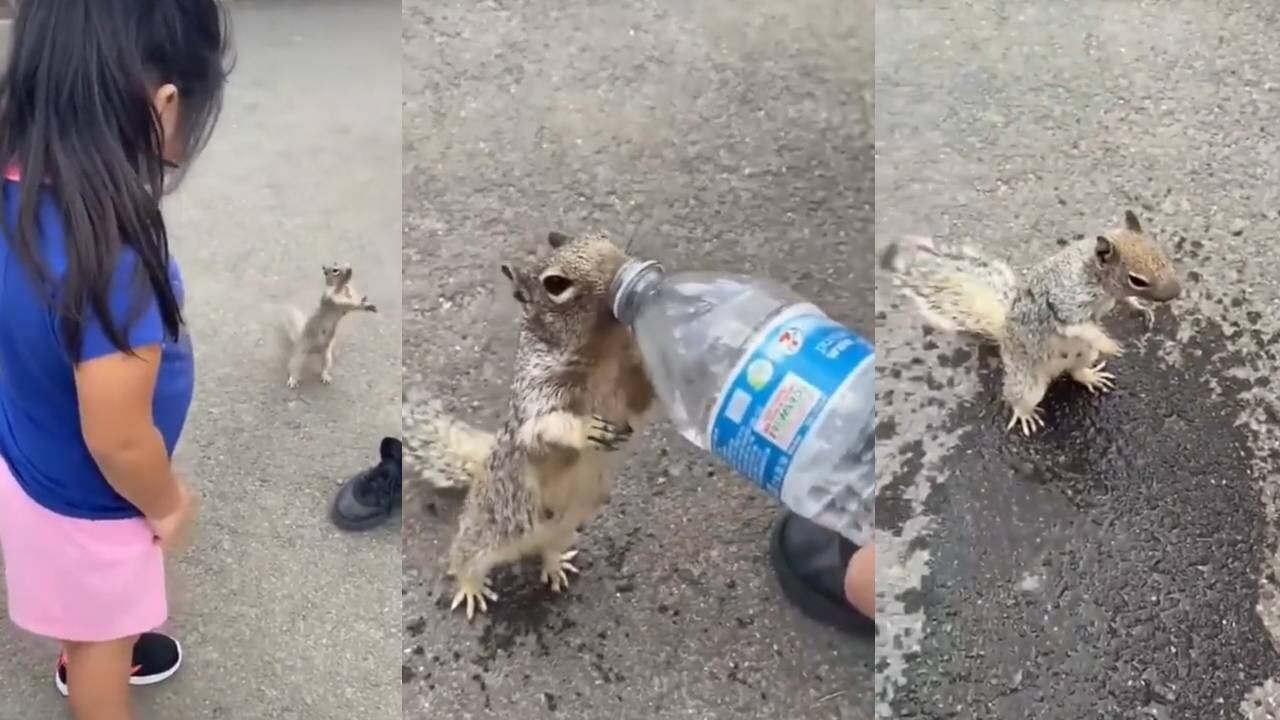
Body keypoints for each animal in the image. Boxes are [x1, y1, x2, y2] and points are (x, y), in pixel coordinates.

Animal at [442, 230, 656, 620]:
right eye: (555, 285)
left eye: (603, 236)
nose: (621, 266)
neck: (604, 352)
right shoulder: (537, 395)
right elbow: (544, 429)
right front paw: (586, 429)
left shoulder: (628, 392)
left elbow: (643, 396)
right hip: (486, 531)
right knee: (463, 558)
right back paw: (470, 588)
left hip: (564, 530)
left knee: (548, 549)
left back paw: (555, 565)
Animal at [881, 210, 1181, 435]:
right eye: (1137, 279)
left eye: (1163, 256)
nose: (1176, 293)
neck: (1099, 281)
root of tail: (1004, 334)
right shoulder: (1066, 302)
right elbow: (1080, 326)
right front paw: (1110, 343)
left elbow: (1124, 304)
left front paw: (1140, 310)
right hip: (1027, 380)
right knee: (1017, 396)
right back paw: (1024, 413)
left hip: (1084, 355)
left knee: (1076, 372)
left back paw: (1090, 375)